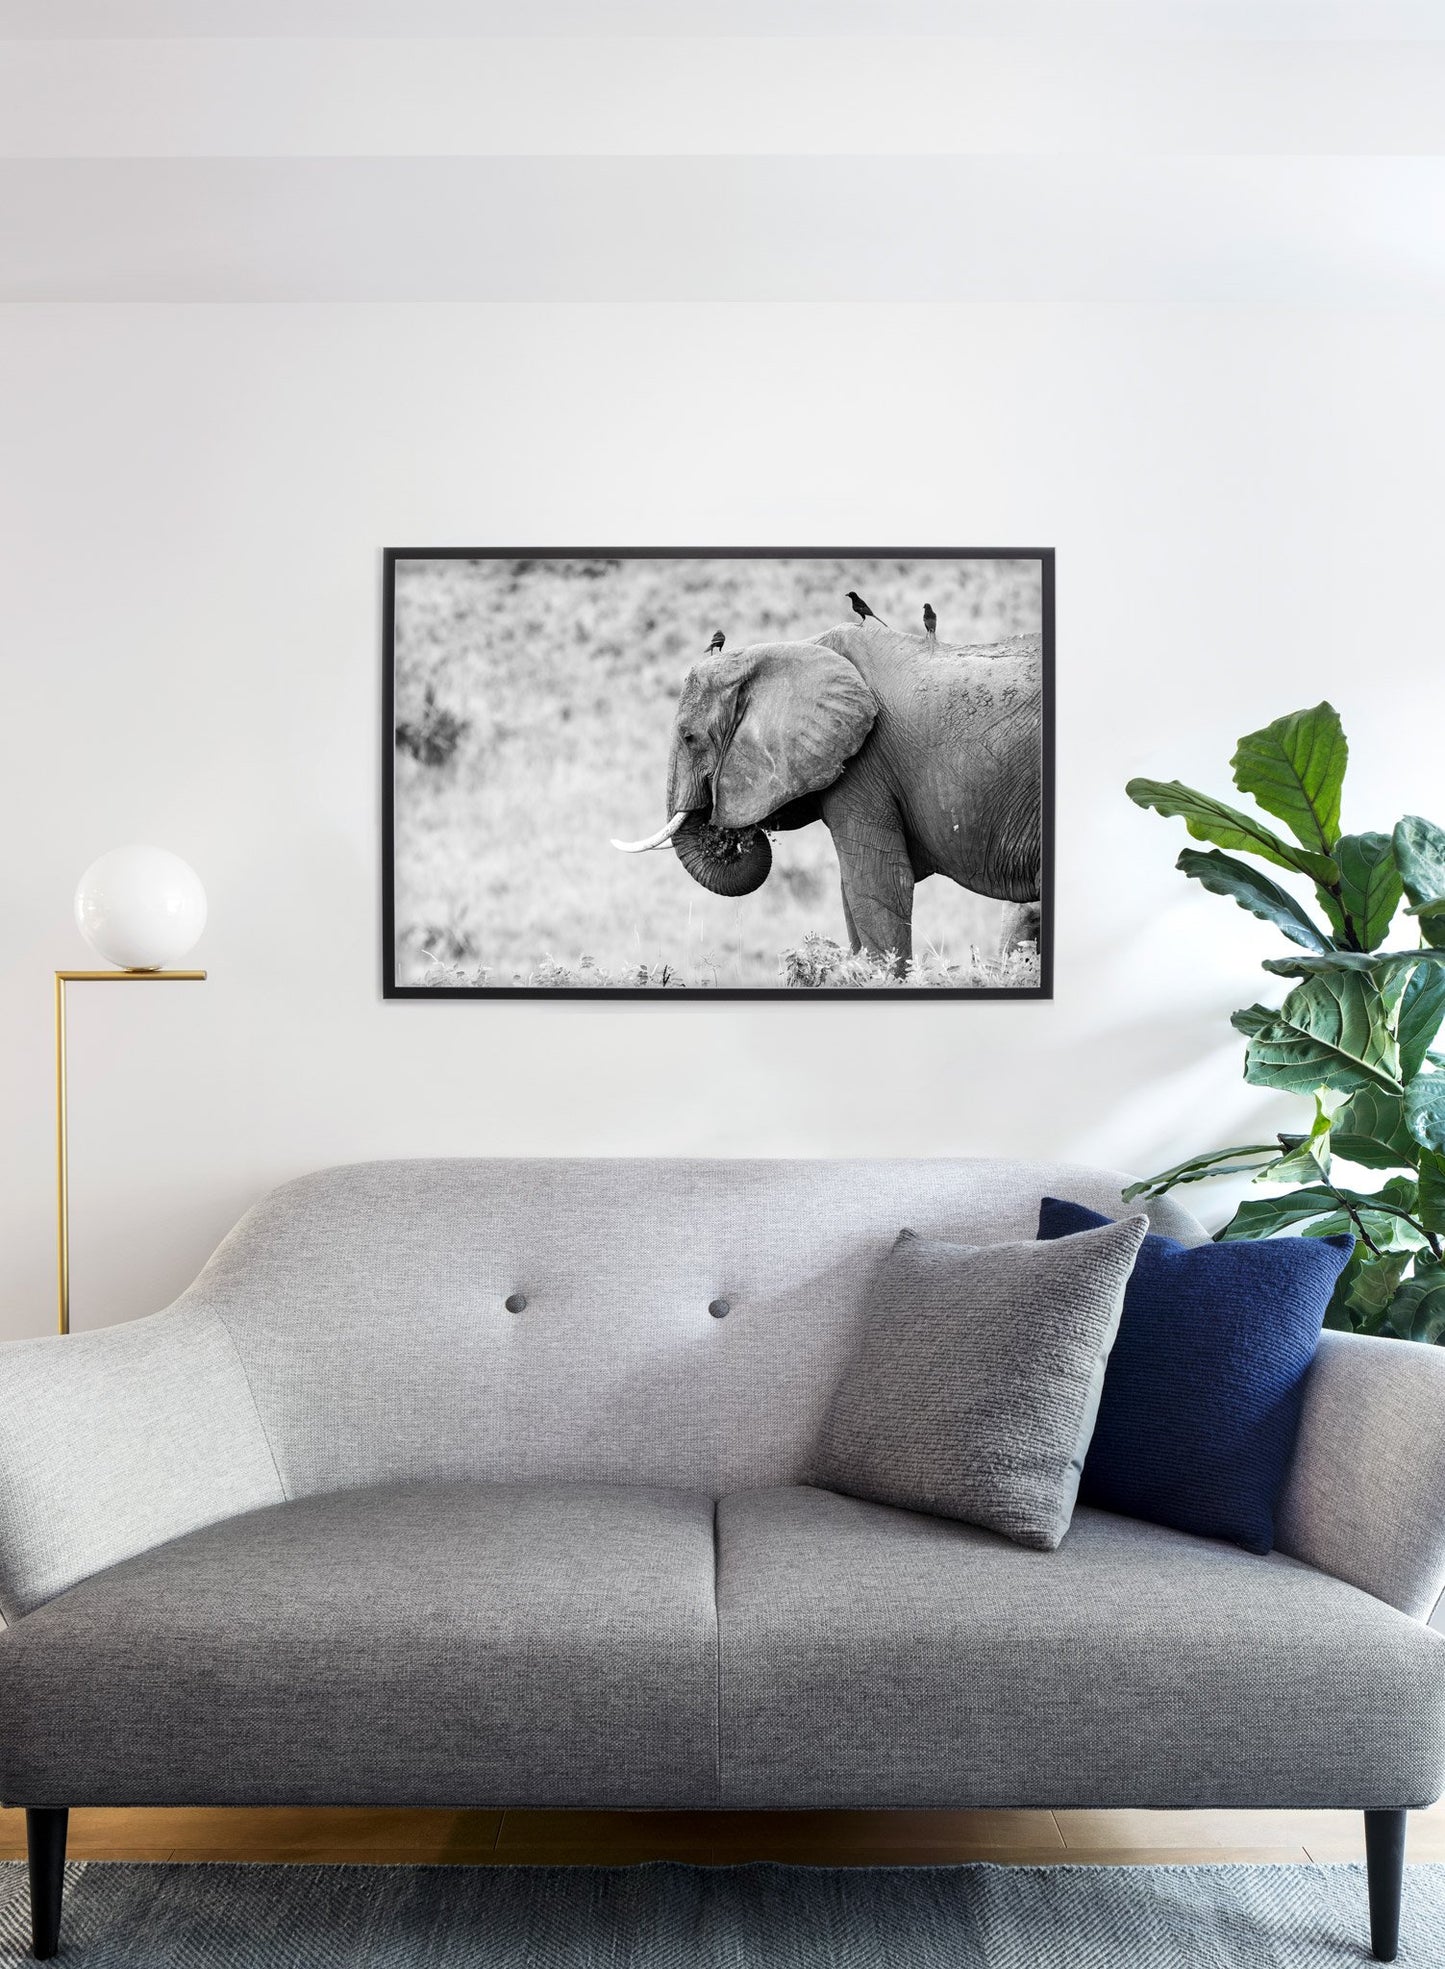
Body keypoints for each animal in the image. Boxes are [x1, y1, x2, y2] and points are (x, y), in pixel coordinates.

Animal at [613, 619, 1042, 967]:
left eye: (688, 737)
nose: (725, 831)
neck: (790, 648)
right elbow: (851, 894)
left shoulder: (865, 764)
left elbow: (876, 884)